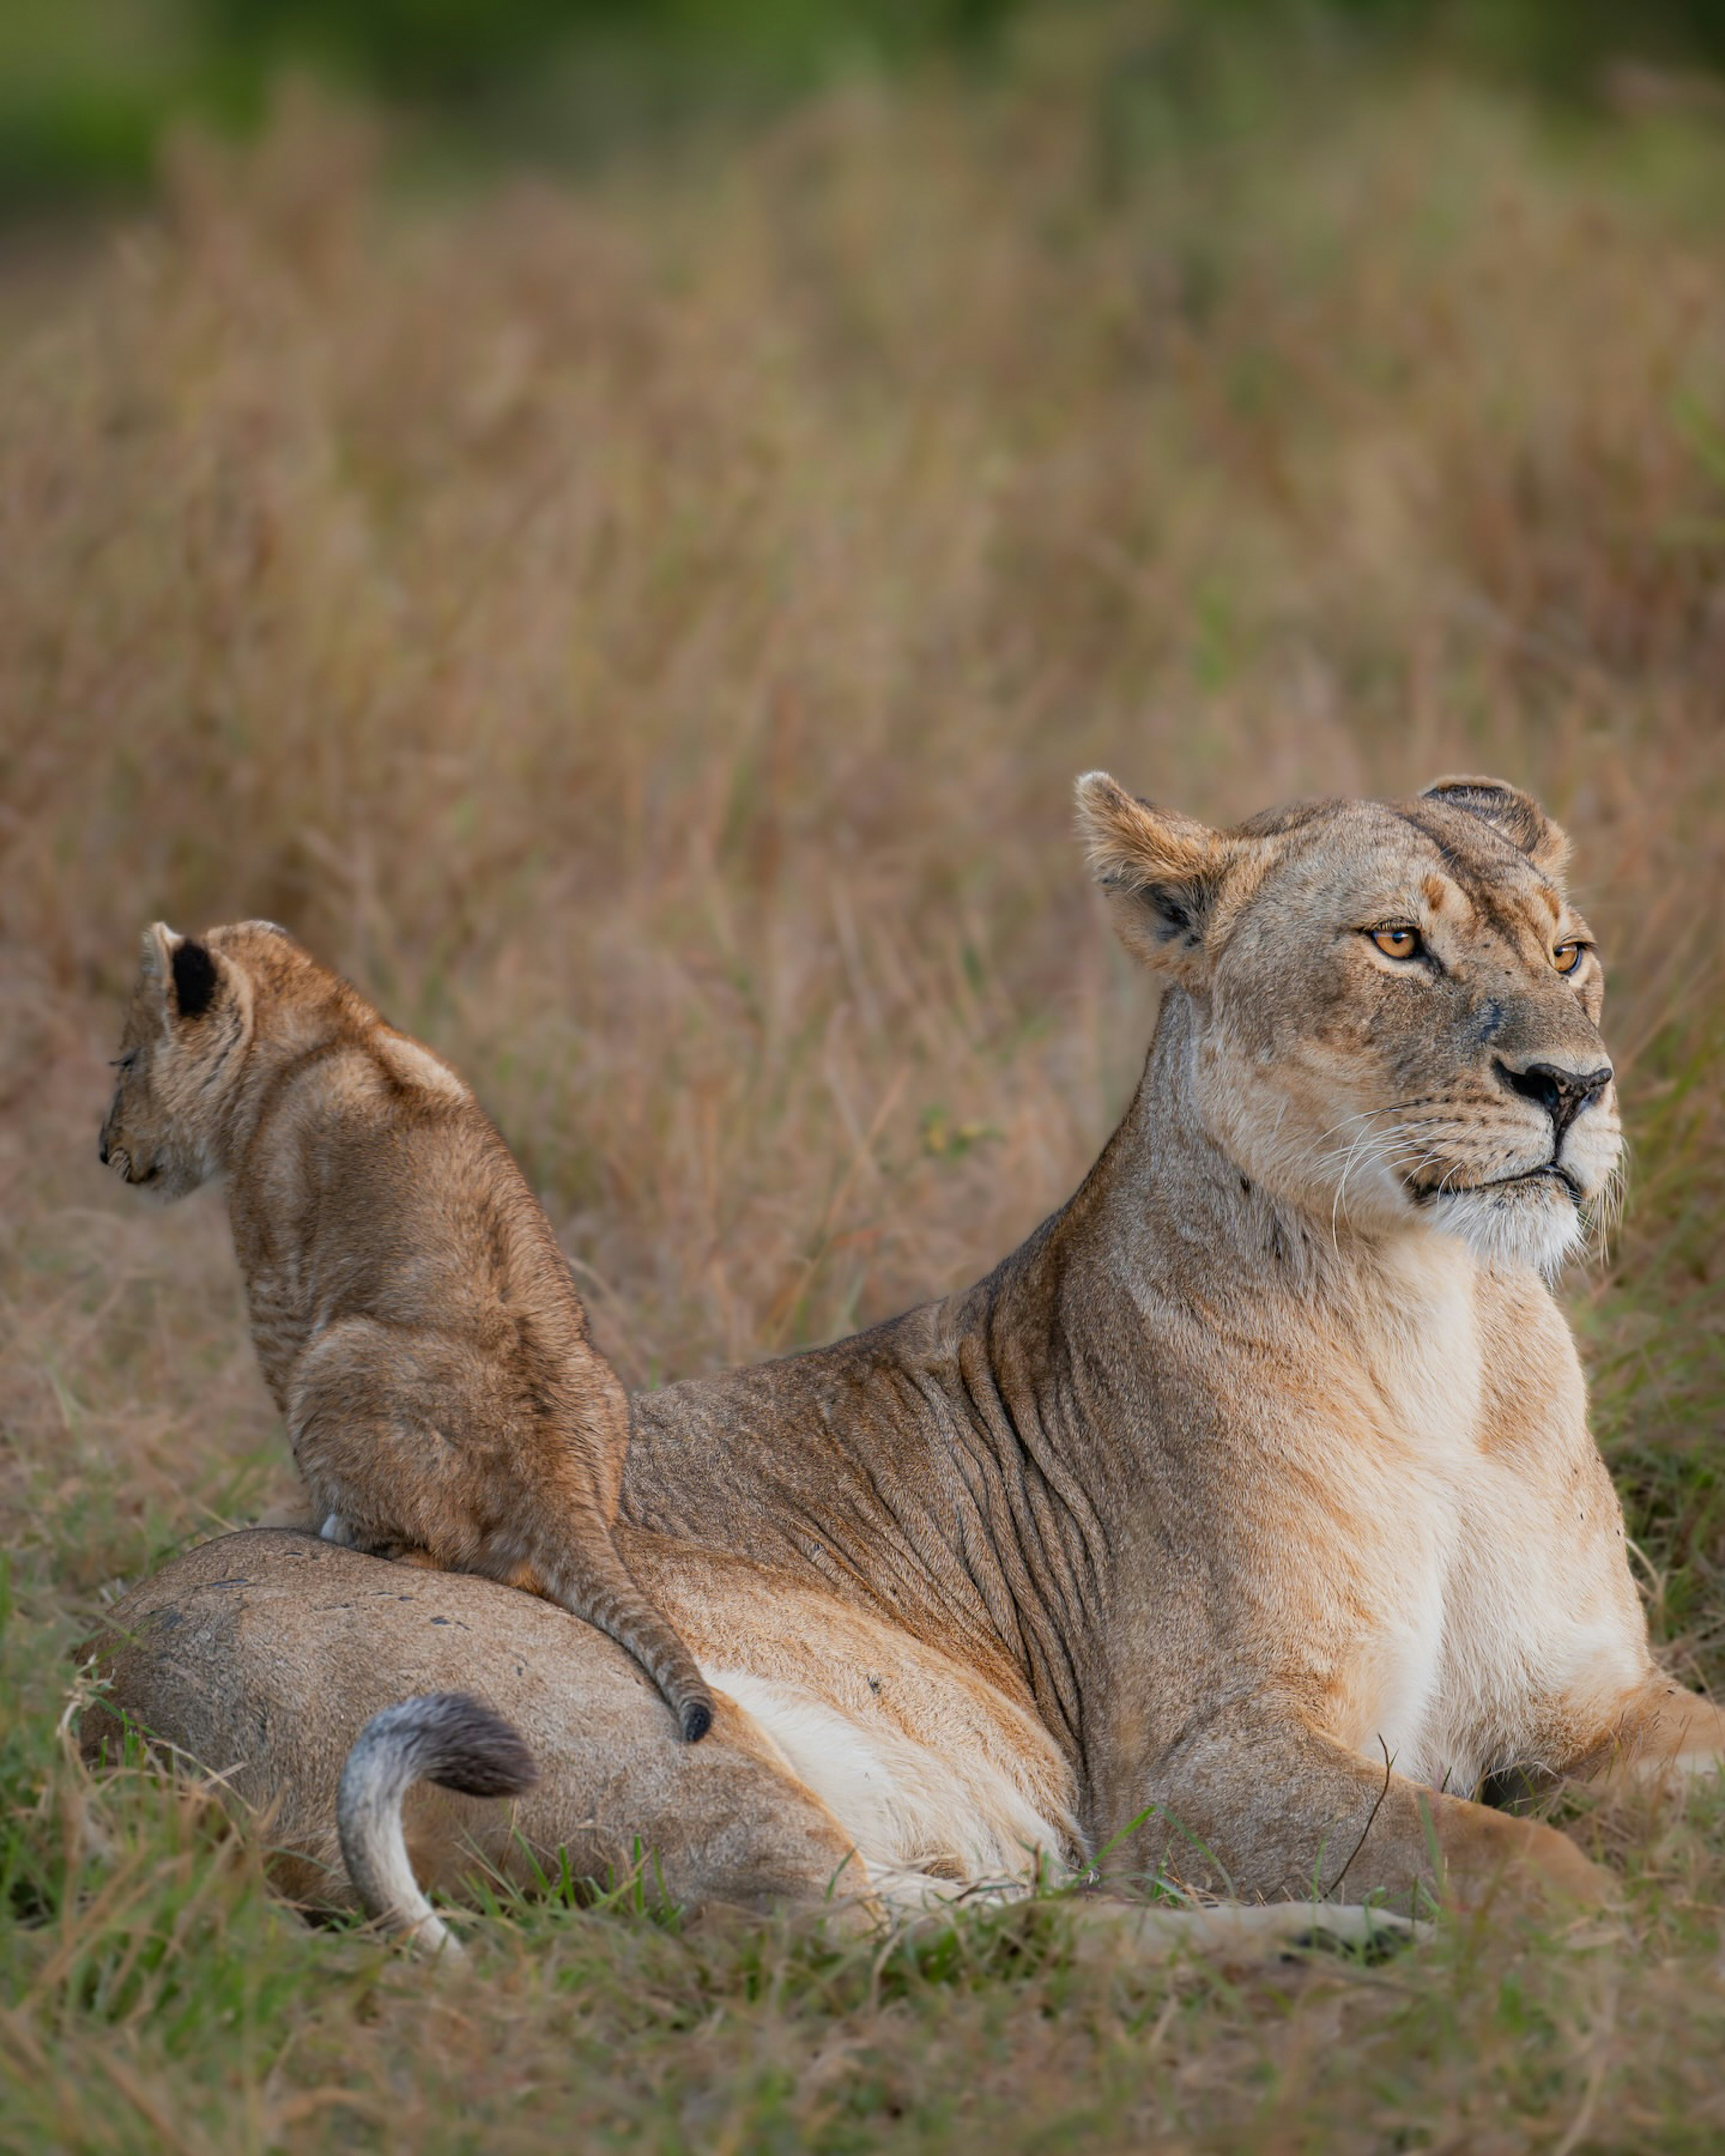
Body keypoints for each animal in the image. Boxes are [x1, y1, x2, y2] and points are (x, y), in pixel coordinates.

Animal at [97, 920, 714, 1742]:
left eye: (128, 1060)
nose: (104, 1149)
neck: (330, 1027)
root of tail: (557, 1478)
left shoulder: (274, 1275)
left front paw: (303, 1509)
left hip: (335, 1355)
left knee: (430, 1552)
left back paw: (341, 1529)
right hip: (603, 1381)